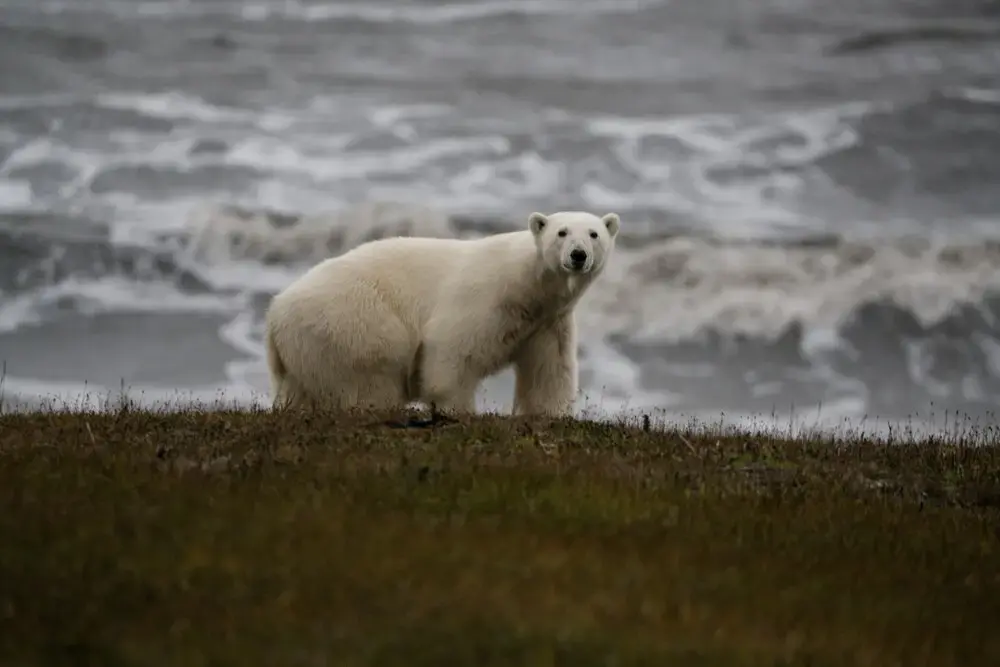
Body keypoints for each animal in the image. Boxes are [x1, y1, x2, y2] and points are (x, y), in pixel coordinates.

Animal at [263, 210, 621, 416]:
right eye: (562, 232)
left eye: (594, 234)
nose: (578, 255)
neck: (526, 285)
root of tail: (275, 314)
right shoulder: (485, 296)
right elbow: (453, 348)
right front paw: (457, 410)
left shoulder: (546, 320)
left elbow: (550, 369)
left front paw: (548, 414)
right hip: (350, 319)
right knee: (373, 370)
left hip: (303, 353)